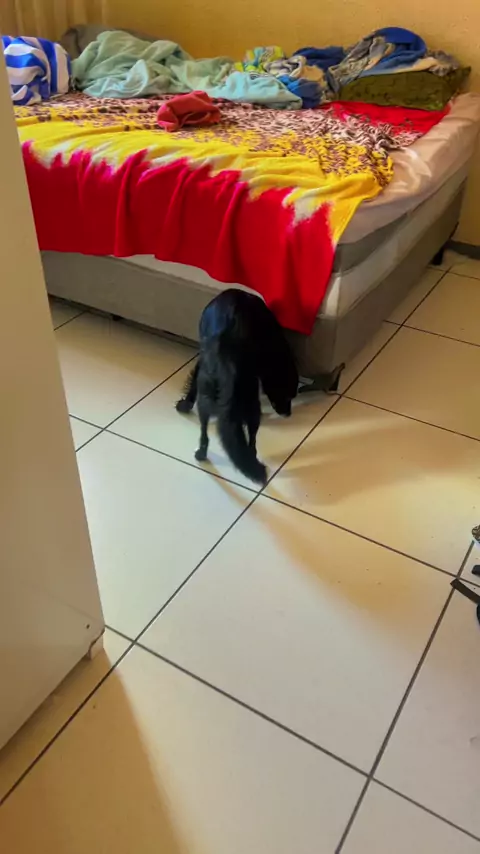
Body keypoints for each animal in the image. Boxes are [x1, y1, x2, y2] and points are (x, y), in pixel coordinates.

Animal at [176, 289, 298, 484]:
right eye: (287, 396)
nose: (288, 414)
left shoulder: (201, 361)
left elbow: (193, 381)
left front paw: (185, 403)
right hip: (249, 406)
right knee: (251, 439)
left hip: (209, 400)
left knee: (206, 431)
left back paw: (202, 453)